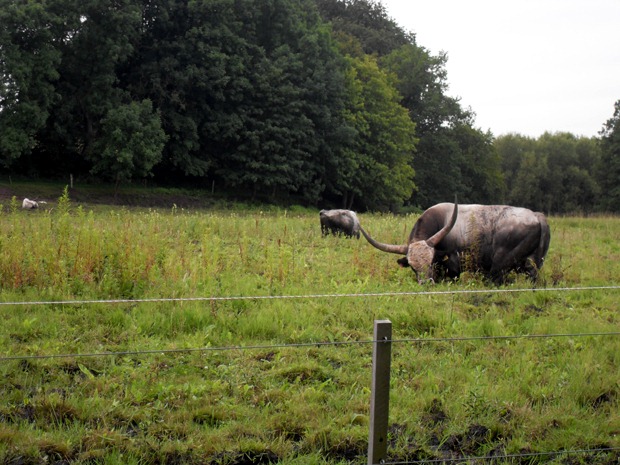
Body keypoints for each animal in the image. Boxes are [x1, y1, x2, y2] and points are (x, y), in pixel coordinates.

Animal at [360, 199, 548, 282]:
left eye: (430, 262)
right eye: (413, 267)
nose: (426, 282)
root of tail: (536, 216)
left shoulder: (453, 265)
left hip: (501, 265)